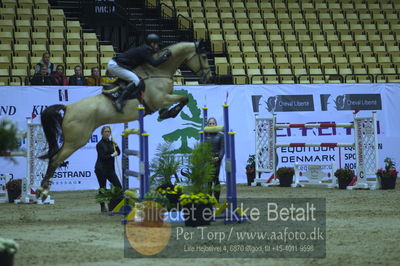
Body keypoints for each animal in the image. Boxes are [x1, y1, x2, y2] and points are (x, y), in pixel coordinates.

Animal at [36, 41, 212, 200]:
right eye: (204, 56)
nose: (209, 77)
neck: (158, 71)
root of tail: (68, 108)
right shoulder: (161, 99)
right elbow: (184, 98)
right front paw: (171, 113)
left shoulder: (162, 100)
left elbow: (181, 100)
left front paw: (166, 113)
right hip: (75, 141)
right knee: (55, 160)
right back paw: (42, 192)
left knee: (54, 158)